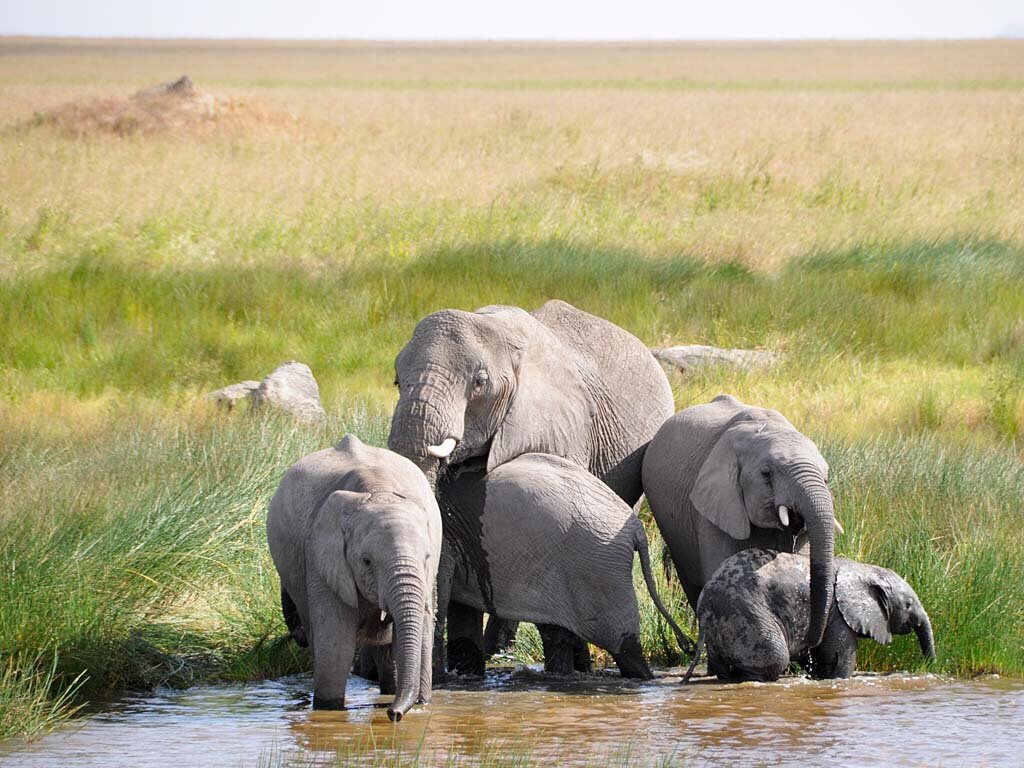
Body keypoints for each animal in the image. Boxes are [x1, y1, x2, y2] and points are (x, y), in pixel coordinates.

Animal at [264, 438, 440, 720]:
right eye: (366, 561)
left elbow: (421, 636)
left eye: (426, 557)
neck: (379, 488)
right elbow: (336, 646)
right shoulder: (322, 558)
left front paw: (421, 707)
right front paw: (329, 712)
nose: (393, 714)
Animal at [688, 548, 937, 684]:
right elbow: (840, 659)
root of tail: (706, 604)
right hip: (748, 616)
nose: (927, 666)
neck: (864, 569)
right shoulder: (839, 614)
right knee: (774, 660)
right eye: (908, 604)